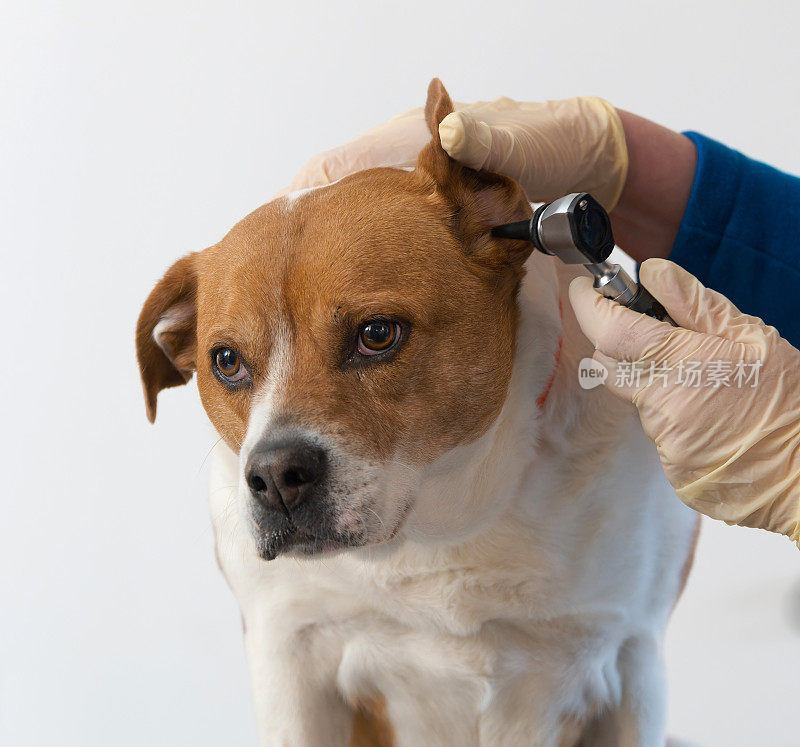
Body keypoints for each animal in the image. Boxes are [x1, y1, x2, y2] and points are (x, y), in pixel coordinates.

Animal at [134, 79, 696, 744]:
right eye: (226, 361)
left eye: (377, 333)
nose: (273, 476)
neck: (440, 522)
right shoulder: (289, 657)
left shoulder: (632, 659)